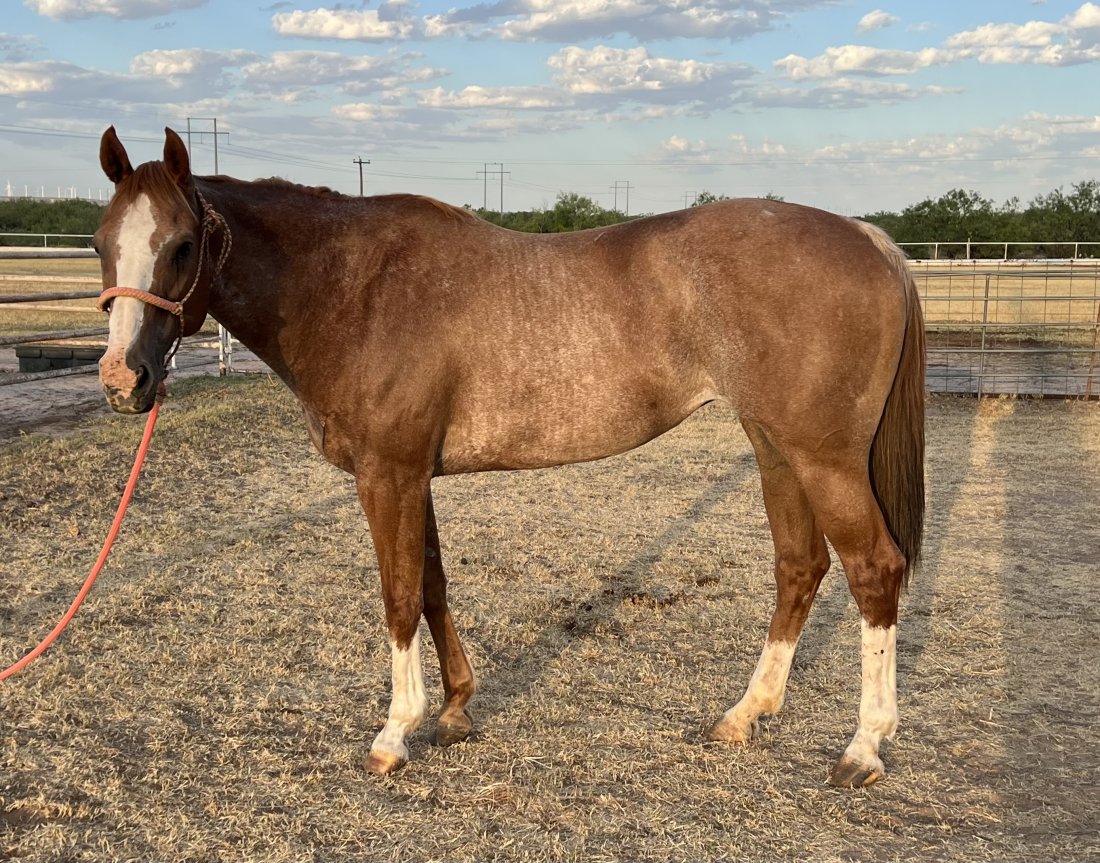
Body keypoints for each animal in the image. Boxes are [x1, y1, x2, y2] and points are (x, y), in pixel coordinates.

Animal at [94, 126, 924, 787]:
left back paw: (863, 746)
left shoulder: (387, 476)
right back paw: (744, 715)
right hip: (775, 448)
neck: (354, 286)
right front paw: (456, 709)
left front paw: (394, 732)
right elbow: (431, 583)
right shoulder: (411, 476)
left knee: (873, 569)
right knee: (799, 567)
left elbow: (398, 596)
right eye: (103, 246)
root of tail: (869, 238)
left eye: (181, 245)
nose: (123, 380)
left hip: (823, 459)